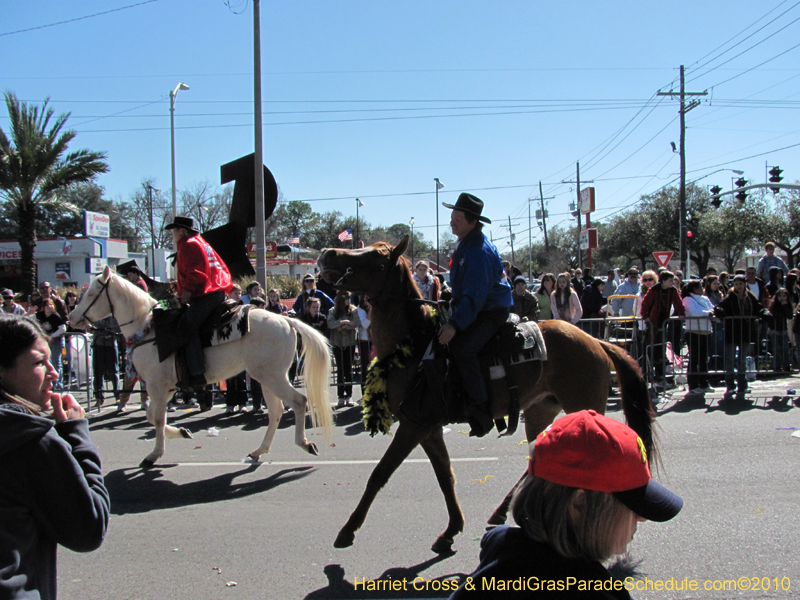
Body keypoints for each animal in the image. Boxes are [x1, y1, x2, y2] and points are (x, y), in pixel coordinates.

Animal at [67, 268, 332, 468]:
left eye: (92, 293)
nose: (71, 318)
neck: (148, 330)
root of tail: (286, 319)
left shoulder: (156, 385)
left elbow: (157, 418)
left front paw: (154, 454)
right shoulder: (166, 387)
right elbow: (153, 416)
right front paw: (182, 432)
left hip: (272, 377)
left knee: (298, 402)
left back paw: (304, 444)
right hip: (267, 378)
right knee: (276, 411)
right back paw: (258, 451)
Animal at [318, 237, 656, 556]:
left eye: (377, 257)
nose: (327, 254)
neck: (416, 345)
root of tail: (596, 342)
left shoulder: (413, 427)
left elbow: (380, 473)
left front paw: (348, 530)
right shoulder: (427, 428)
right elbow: (445, 477)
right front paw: (451, 529)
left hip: (582, 410)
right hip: (540, 411)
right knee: (537, 459)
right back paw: (504, 510)